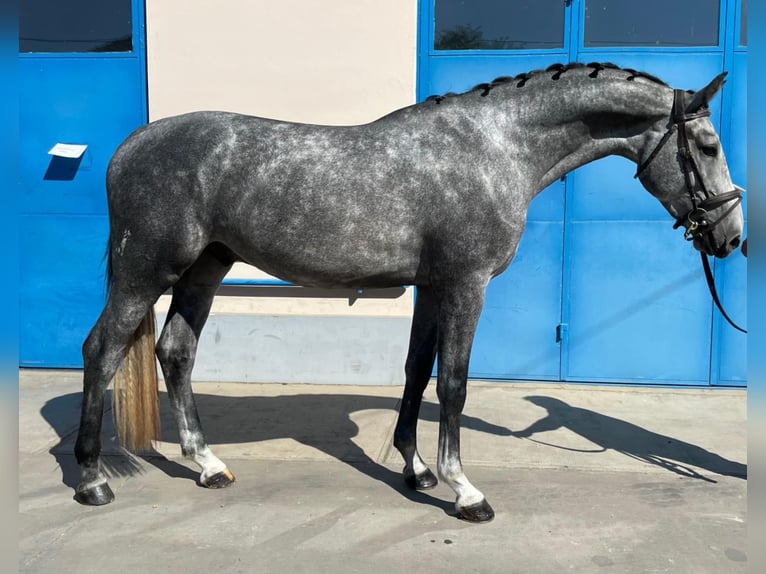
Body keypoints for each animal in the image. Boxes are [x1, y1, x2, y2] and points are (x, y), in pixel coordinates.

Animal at [73, 62, 744, 520]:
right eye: (709, 146)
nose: (732, 236)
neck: (495, 147)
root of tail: (129, 146)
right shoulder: (465, 285)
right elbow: (454, 384)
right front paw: (464, 490)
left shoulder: (430, 287)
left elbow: (417, 371)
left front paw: (416, 470)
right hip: (147, 271)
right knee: (101, 350)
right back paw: (91, 480)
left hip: (205, 270)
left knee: (175, 352)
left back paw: (207, 466)